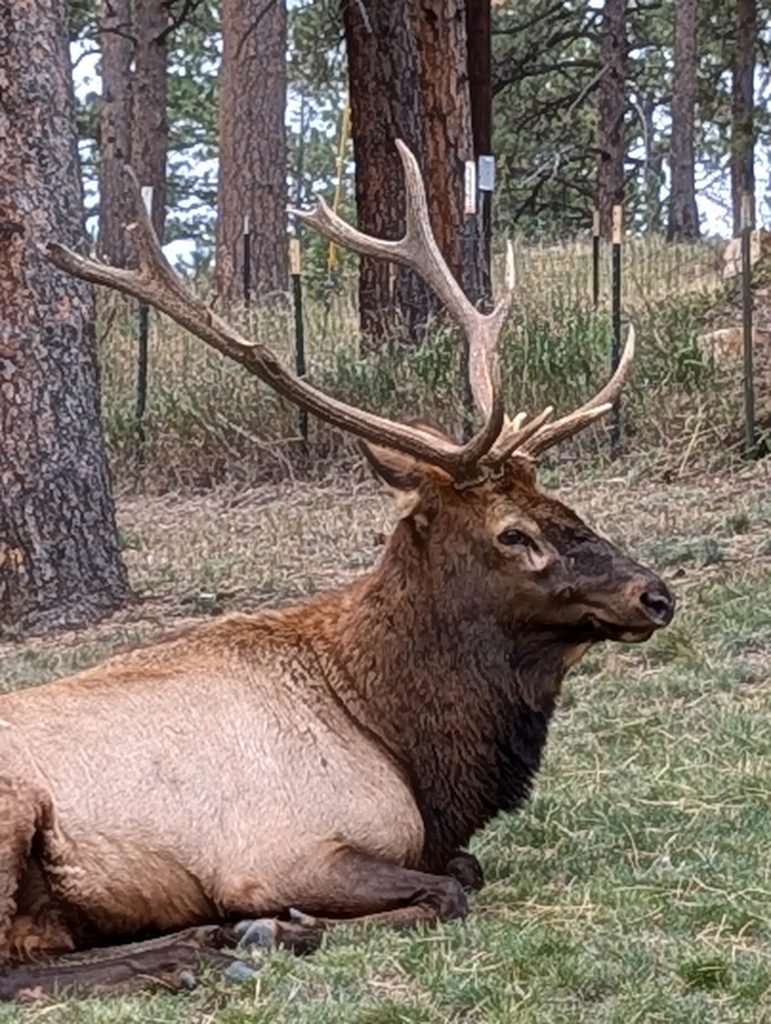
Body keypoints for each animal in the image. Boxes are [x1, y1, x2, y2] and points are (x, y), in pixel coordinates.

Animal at [0, 144, 671, 999]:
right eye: (513, 533)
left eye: (563, 503)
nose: (654, 594)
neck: (400, 739)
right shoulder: (280, 852)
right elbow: (446, 889)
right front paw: (270, 923)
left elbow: (467, 867)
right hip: (14, 809)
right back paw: (211, 947)